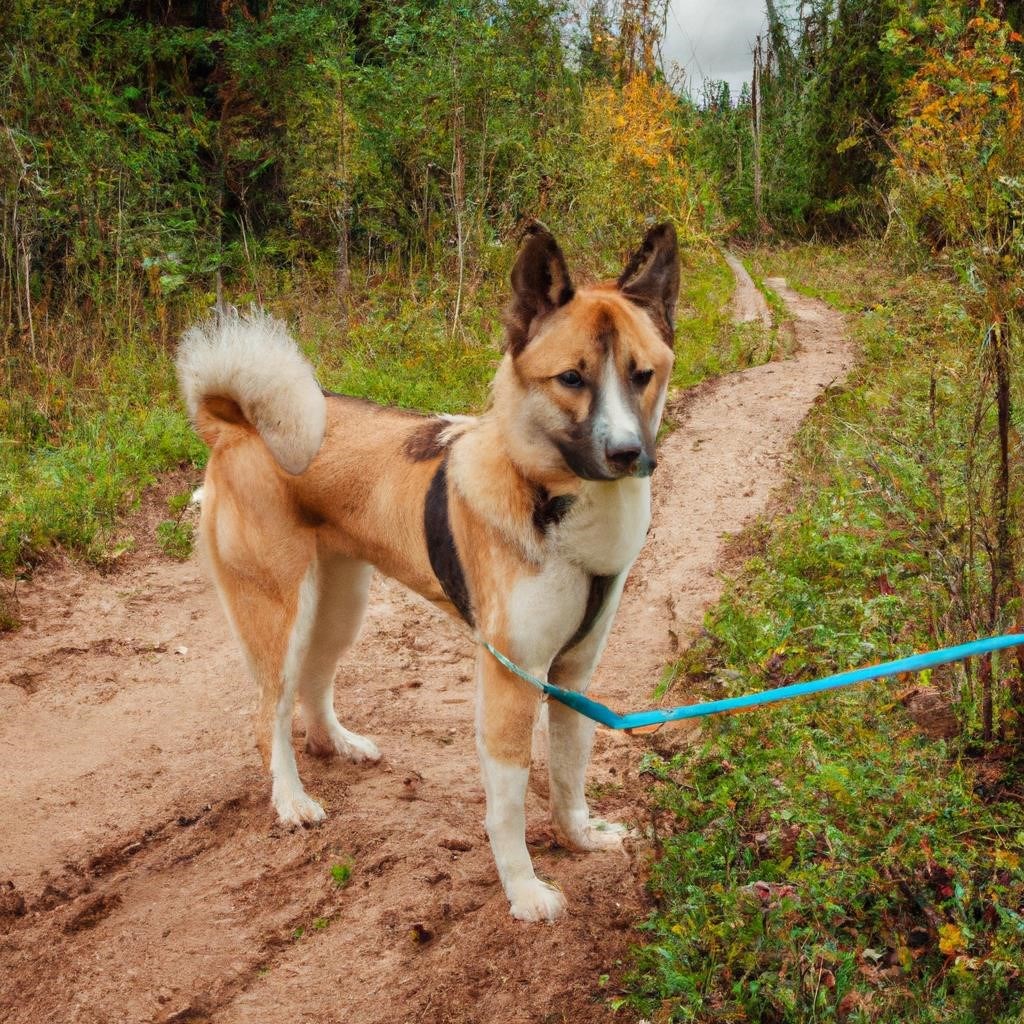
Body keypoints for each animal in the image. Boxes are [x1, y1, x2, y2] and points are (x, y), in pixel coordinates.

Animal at [178, 222, 679, 921]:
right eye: (571, 378)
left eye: (642, 375)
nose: (628, 452)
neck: (549, 498)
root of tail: (234, 423)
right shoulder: (511, 678)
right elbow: (509, 807)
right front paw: (524, 892)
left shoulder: (574, 677)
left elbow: (569, 774)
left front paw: (579, 837)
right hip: (281, 612)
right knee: (268, 713)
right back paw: (292, 800)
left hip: (339, 604)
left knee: (313, 684)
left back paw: (339, 745)